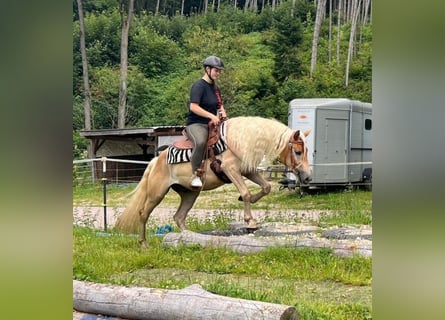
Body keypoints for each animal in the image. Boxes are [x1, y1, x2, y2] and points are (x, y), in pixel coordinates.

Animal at [116, 115, 310, 248]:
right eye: (298, 151)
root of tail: (157, 159)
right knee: (143, 214)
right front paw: (250, 222)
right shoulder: (230, 170)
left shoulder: (248, 171)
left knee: (179, 217)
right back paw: (143, 243)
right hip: (156, 194)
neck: (239, 141)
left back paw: (188, 237)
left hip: (189, 194)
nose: (308, 177)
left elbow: (266, 187)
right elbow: (246, 192)